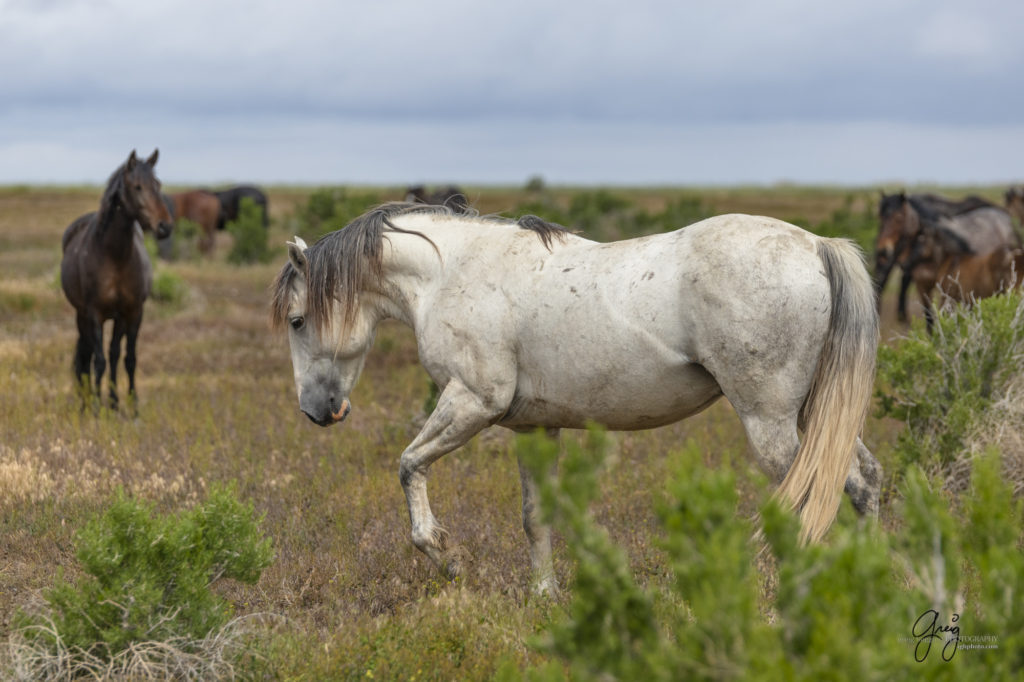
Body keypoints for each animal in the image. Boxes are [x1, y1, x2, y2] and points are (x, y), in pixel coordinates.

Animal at [60, 150, 173, 409]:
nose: (165, 226)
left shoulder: (132, 312)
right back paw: (85, 403)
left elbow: (128, 358)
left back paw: (111, 403)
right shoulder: (95, 314)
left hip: (117, 318)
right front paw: (95, 408)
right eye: (137, 186)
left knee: (112, 354)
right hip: (82, 316)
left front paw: (129, 406)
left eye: (158, 184)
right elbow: (99, 361)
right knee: (88, 355)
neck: (115, 256)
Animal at [272, 200, 880, 589]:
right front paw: (545, 596)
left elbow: (408, 466)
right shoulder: (533, 428)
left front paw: (448, 559)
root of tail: (816, 246)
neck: (450, 273)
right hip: (814, 415)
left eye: (298, 321)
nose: (316, 411)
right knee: (864, 481)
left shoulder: (472, 403)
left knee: (820, 494)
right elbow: (534, 517)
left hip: (770, 422)